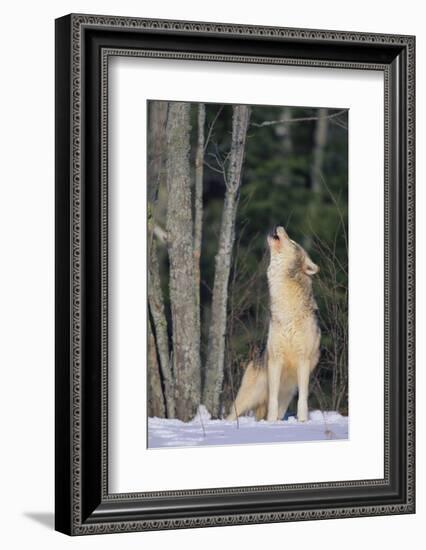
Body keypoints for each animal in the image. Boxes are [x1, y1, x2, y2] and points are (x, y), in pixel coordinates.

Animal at [226, 226, 320, 424]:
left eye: (293, 242)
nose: (279, 227)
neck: (287, 311)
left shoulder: (303, 360)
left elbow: (303, 398)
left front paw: (302, 421)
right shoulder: (276, 360)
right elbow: (273, 399)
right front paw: (270, 424)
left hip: (288, 393)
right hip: (249, 396)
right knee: (232, 414)